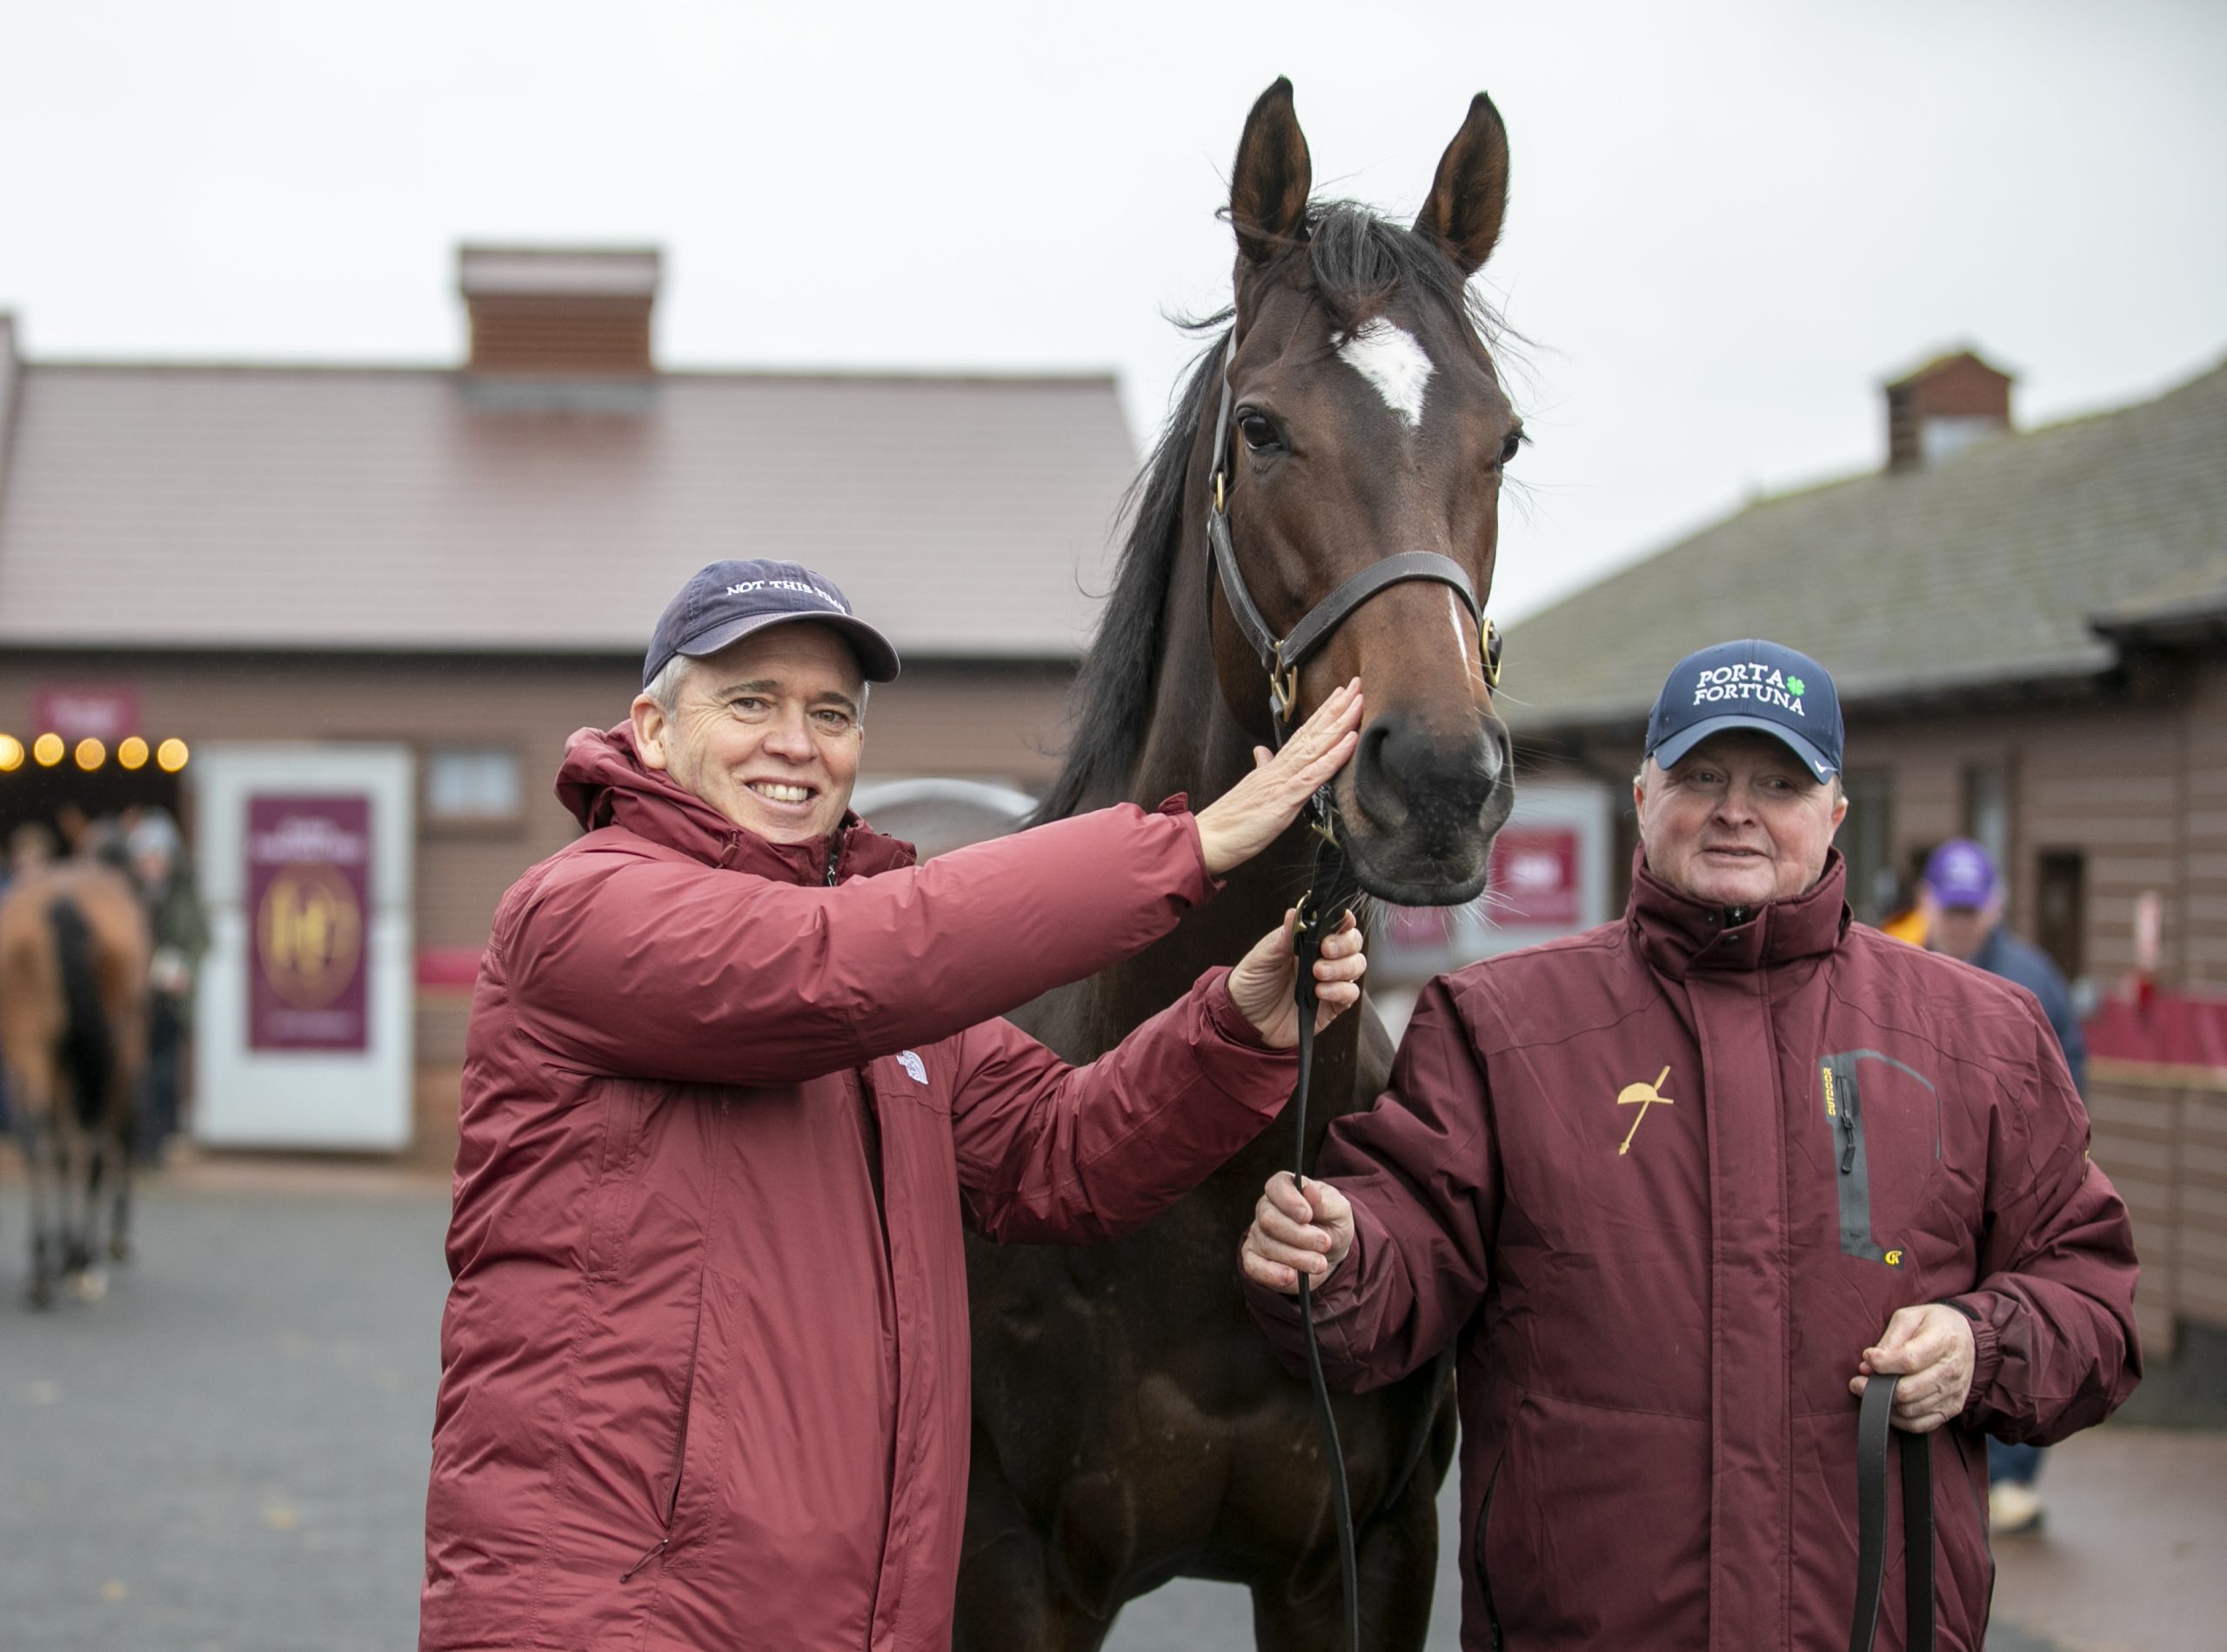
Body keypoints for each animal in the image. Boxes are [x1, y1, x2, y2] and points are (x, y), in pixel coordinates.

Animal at [0, 859, 152, 1307]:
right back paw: (82, 1262)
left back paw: (42, 1269)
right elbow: (121, 1130)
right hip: (117, 1050)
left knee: (37, 1139)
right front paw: (105, 1244)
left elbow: (62, 1149)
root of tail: (62, 903)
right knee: (100, 1140)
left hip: (31, 1049)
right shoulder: (129, 1052)